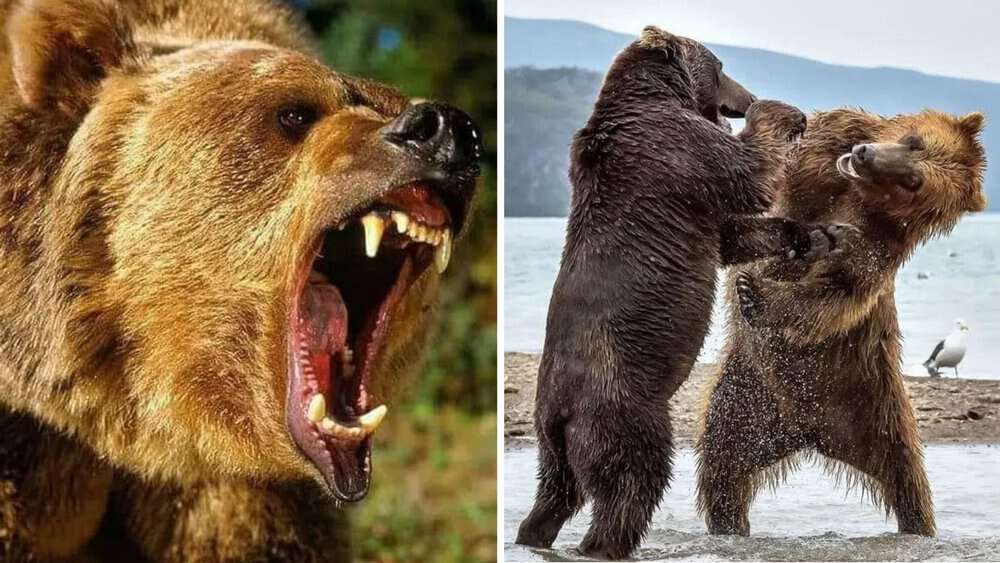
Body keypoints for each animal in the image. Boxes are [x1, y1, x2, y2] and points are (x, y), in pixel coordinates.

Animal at [515, 26, 849, 559]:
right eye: (722, 66)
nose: (744, 98)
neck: (656, 94)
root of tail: (560, 413)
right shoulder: (679, 150)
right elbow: (748, 171)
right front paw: (781, 113)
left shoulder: (692, 192)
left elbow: (735, 233)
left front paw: (821, 235)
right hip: (623, 407)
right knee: (633, 480)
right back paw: (607, 542)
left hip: (554, 443)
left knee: (557, 491)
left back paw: (534, 534)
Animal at [696, 108, 987, 537]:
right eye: (913, 140)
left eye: (912, 183)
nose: (865, 155)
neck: (860, 195)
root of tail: (809, 431)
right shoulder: (819, 158)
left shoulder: (877, 248)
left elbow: (836, 293)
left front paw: (756, 292)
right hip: (746, 401)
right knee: (724, 468)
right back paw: (729, 524)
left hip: (876, 409)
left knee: (908, 483)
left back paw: (918, 526)